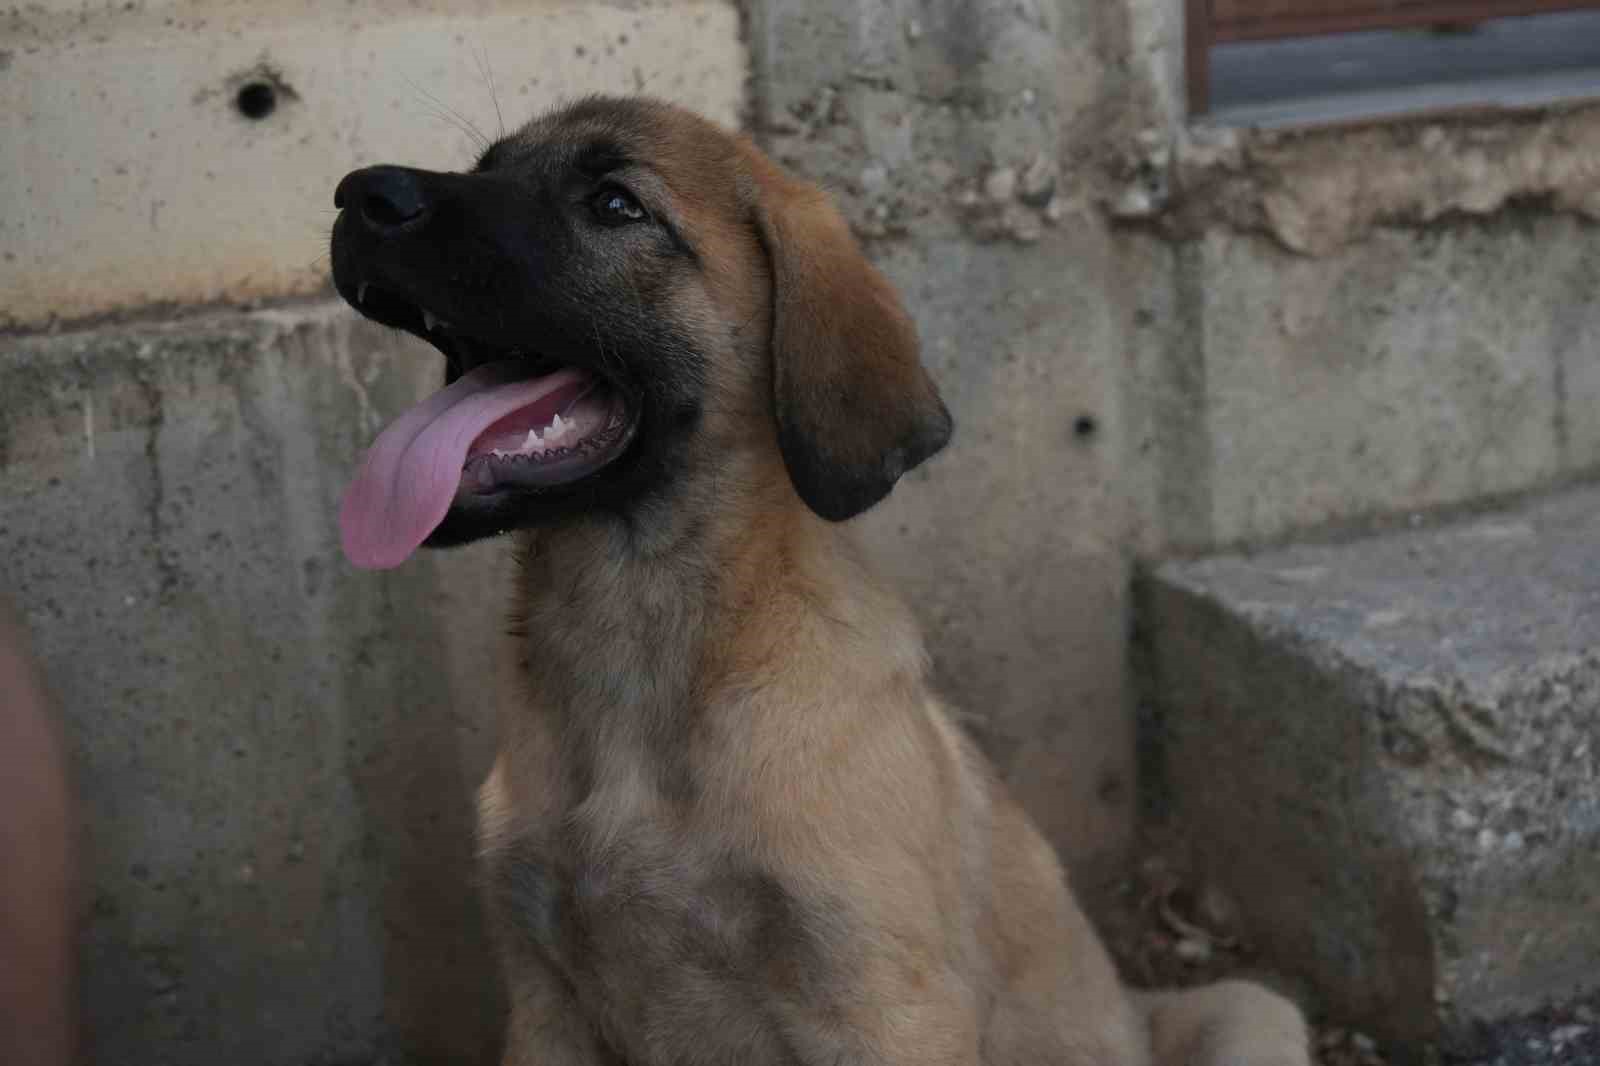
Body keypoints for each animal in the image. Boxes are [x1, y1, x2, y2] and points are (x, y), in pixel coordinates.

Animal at [328, 95, 1312, 1056]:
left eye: (615, 204)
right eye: (486, 167)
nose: (358, 194)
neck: (638, 647)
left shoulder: (883, 1007)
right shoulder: (544, 1005)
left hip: (1253, 1013)